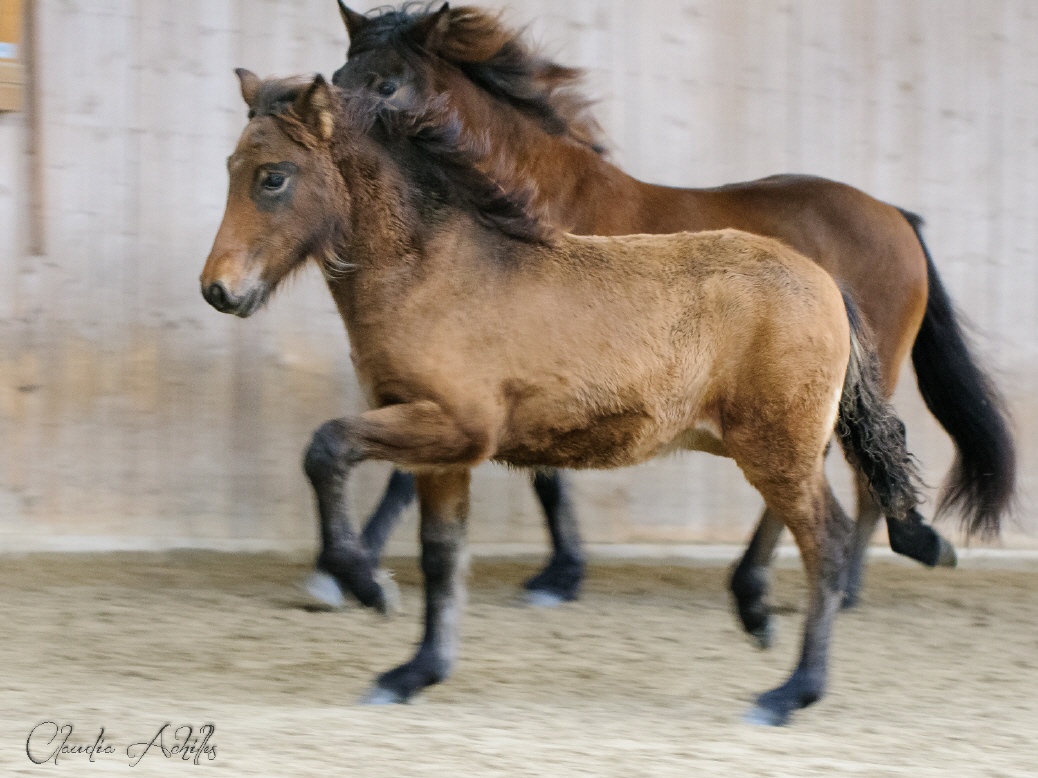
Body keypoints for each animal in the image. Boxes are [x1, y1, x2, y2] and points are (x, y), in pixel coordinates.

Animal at [200, 71, 942, 726]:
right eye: (231, 167)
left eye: (272, 177)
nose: (218, 290)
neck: (437, 272)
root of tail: (826, 283)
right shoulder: (443, 450)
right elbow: (442, 555)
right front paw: (412, 673)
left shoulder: (455, 427)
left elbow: (326, 449)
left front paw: (368, 585)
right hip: (778, 447)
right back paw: (760, 623)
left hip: (777, 447)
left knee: (828, 542)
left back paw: (788, 692)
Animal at [325, 1, 1013, 626]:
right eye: (337, 76)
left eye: (388, 83)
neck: (522, 211)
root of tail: (898, 216)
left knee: (852, 472)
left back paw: (830, 585)